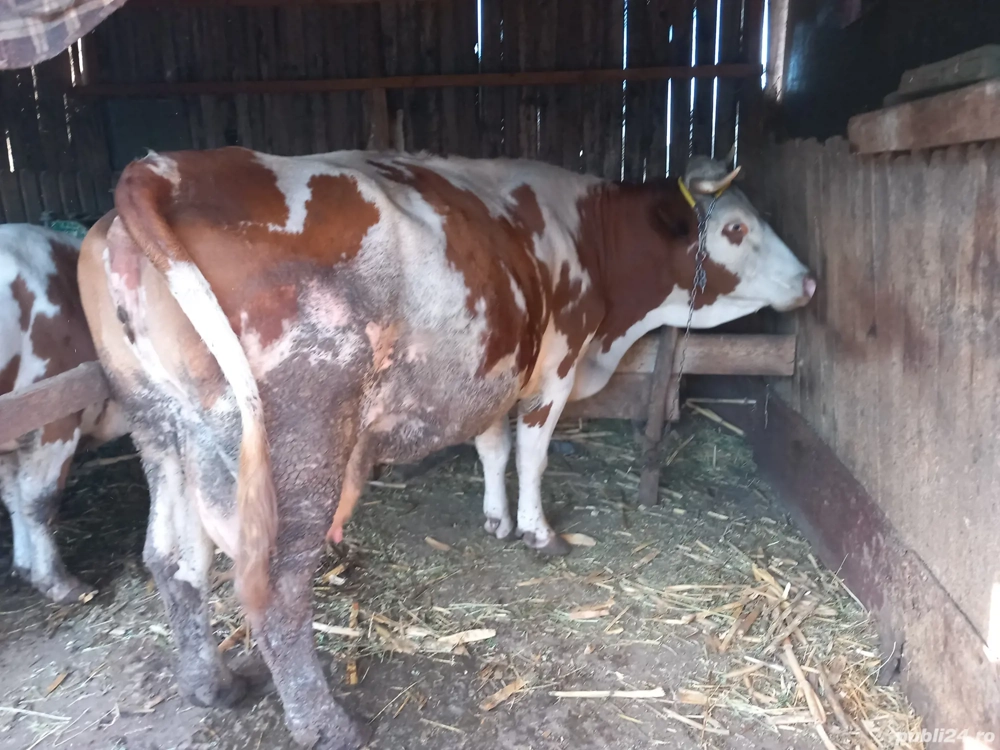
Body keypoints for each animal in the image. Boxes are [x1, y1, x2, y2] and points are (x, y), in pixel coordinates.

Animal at [78, 147, 814, 749]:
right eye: (736, 229)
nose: (809, 281)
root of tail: (165, 168)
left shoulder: (493, 367)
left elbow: (491, 446)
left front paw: (495, 518)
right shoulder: (554, 364)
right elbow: (532, 451)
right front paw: (537, 531)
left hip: (161, 429)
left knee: (172, 559)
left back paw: (213, 684)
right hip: (298, 442)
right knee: (275, 587)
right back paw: (328, 724)